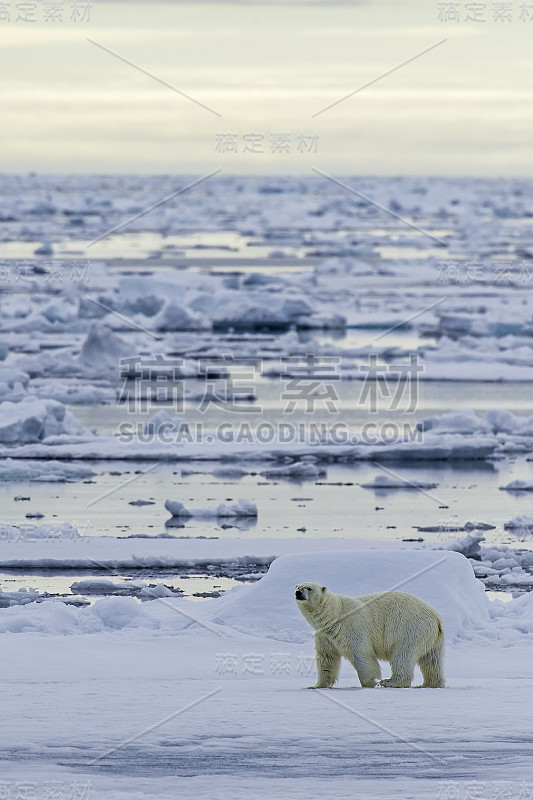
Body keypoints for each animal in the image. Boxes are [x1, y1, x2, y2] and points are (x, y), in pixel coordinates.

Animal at [296, 580, 444, 688]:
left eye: (309, 588)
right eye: (298, 586)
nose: (298, 592)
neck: (334, 614)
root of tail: (436, 617)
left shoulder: (351, 626)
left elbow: (361, 653)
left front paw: (370, 682)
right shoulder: (324, 635)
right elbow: (327, 658)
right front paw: (316, 685)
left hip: (408, 628)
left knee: (403, 655)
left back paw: (390, 682)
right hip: (431, 636)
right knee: (431, 660)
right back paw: (430, 684)